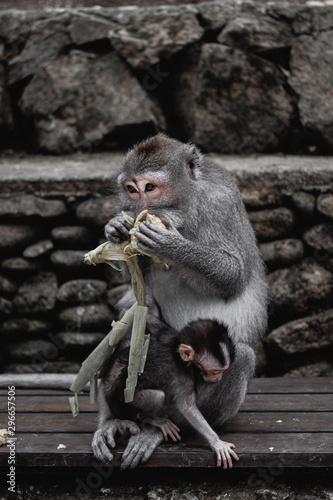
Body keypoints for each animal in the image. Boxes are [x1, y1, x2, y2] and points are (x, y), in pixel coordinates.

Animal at [102, 318, 237, 466]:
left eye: (223, 371)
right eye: (216, 371)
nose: (218, 378)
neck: (178, 355)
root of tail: (111, 397)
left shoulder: (168, 336)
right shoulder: (182, 376)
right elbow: (187, 407)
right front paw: (217, 442)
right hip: (123, 402)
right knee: (158, 396)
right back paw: (152, 419)